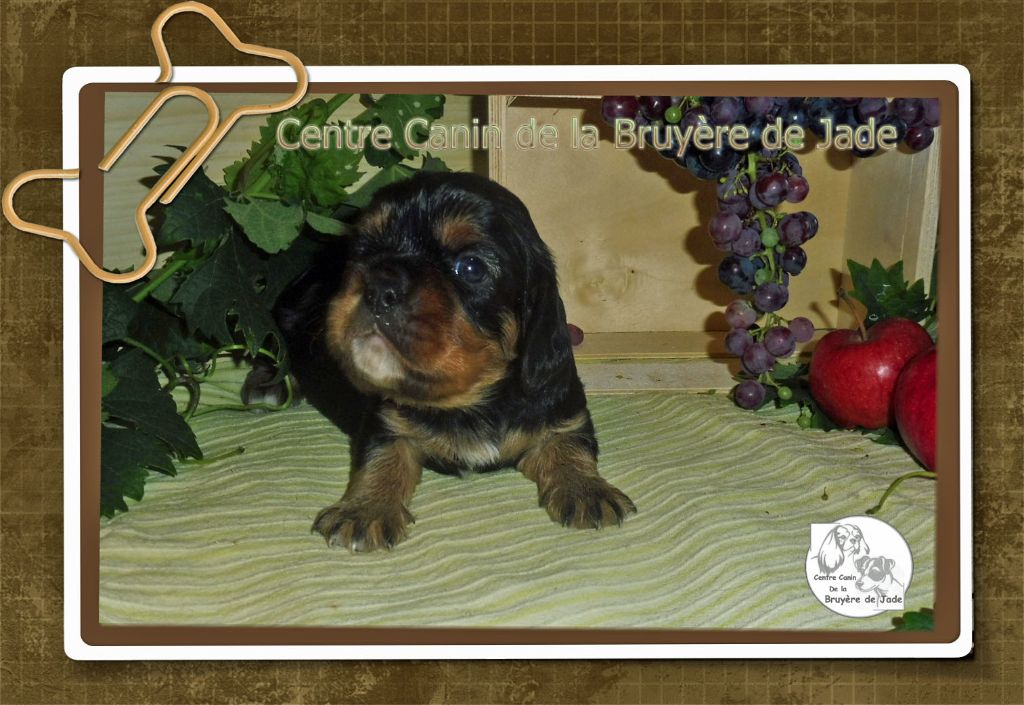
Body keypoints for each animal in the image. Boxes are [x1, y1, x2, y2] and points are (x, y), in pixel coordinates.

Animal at [252, 172, 636, 551]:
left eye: (471, 267)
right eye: (366, 249)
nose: (378, 286)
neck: (471, 400)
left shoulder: (563, 409)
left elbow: (570, 442)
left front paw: (587, 490)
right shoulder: (385, 420)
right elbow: (381, 457)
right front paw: (365, 510)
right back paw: (267, 386)